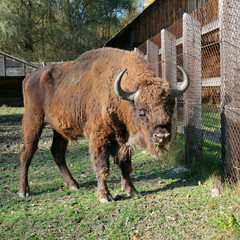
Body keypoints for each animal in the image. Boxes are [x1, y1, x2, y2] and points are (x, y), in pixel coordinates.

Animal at [18, 47, 189, 202]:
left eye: (171, 106)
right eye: (141, 110)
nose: (162, 136)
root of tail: (29, 77)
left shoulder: (123, 140)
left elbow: (125, 164)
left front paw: (131, 190)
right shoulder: (99, 137)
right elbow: (102, 165)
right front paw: (104, 196)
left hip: (59, 129)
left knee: (57, 152)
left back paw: (73, 184)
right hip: (33, 121)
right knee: (27, 152)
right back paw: (23, 191)